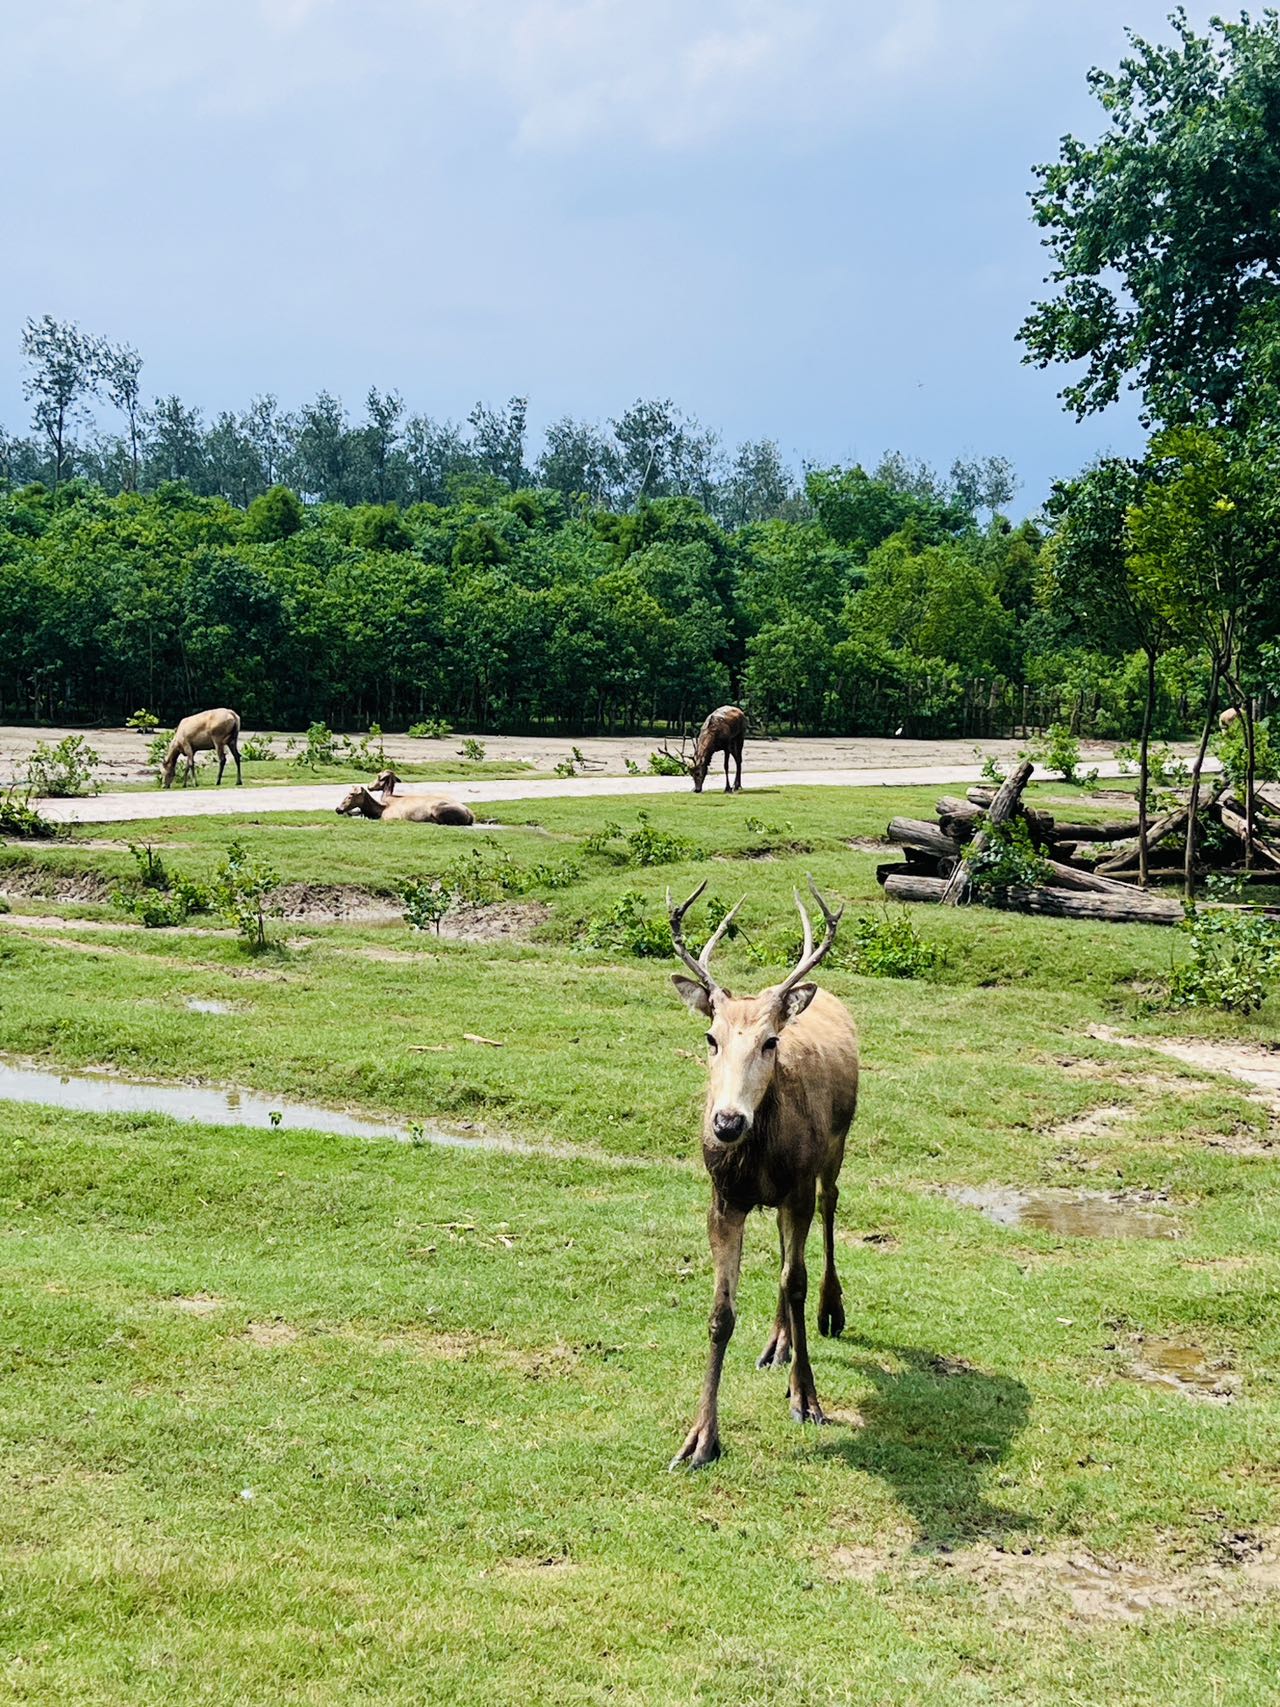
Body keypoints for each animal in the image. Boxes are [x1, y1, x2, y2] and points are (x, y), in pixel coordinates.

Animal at [335, 785, 475, 826]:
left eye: (351, 795)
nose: (338, 809)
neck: (379, 810)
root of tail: (471, 815)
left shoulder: (390, 818)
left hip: (437, 809)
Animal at [666, 876, 859, 1470]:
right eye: (711, 1037)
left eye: (771, 1041)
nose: (728, 1121)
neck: (759, 1158)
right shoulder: (724, 1199)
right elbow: (721, 1314)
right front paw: (700, 1438)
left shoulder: (797, 1186)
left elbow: (795, 1282)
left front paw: (808, 1399)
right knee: (781, 1247)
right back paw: (778, 1344)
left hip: (836, 1149)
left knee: (829, 1209)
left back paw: (830, 1312)